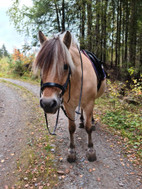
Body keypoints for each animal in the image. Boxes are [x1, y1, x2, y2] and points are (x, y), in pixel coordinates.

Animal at [33, 30, 106, 162]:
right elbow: (71, 127)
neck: (77, 79)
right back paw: (81, 120)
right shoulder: (69, 105)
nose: (47, 103)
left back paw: (92, 122)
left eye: (66, 66)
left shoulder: (89, 102)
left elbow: (88, 127)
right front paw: (71, 151)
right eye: (41, 66)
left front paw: (91, 150)